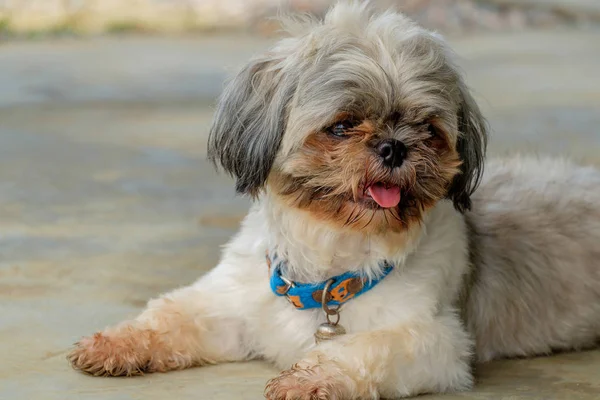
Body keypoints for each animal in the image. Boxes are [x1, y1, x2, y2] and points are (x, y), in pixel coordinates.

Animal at [68, 2, 600, 396]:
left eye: (427, 129)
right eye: (342, 126)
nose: (394, 146)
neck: (327, 260)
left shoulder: (435, 340)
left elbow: (358, 349)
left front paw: (310, 378)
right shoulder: (231, 308)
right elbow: (171, 313)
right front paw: (116, 342)